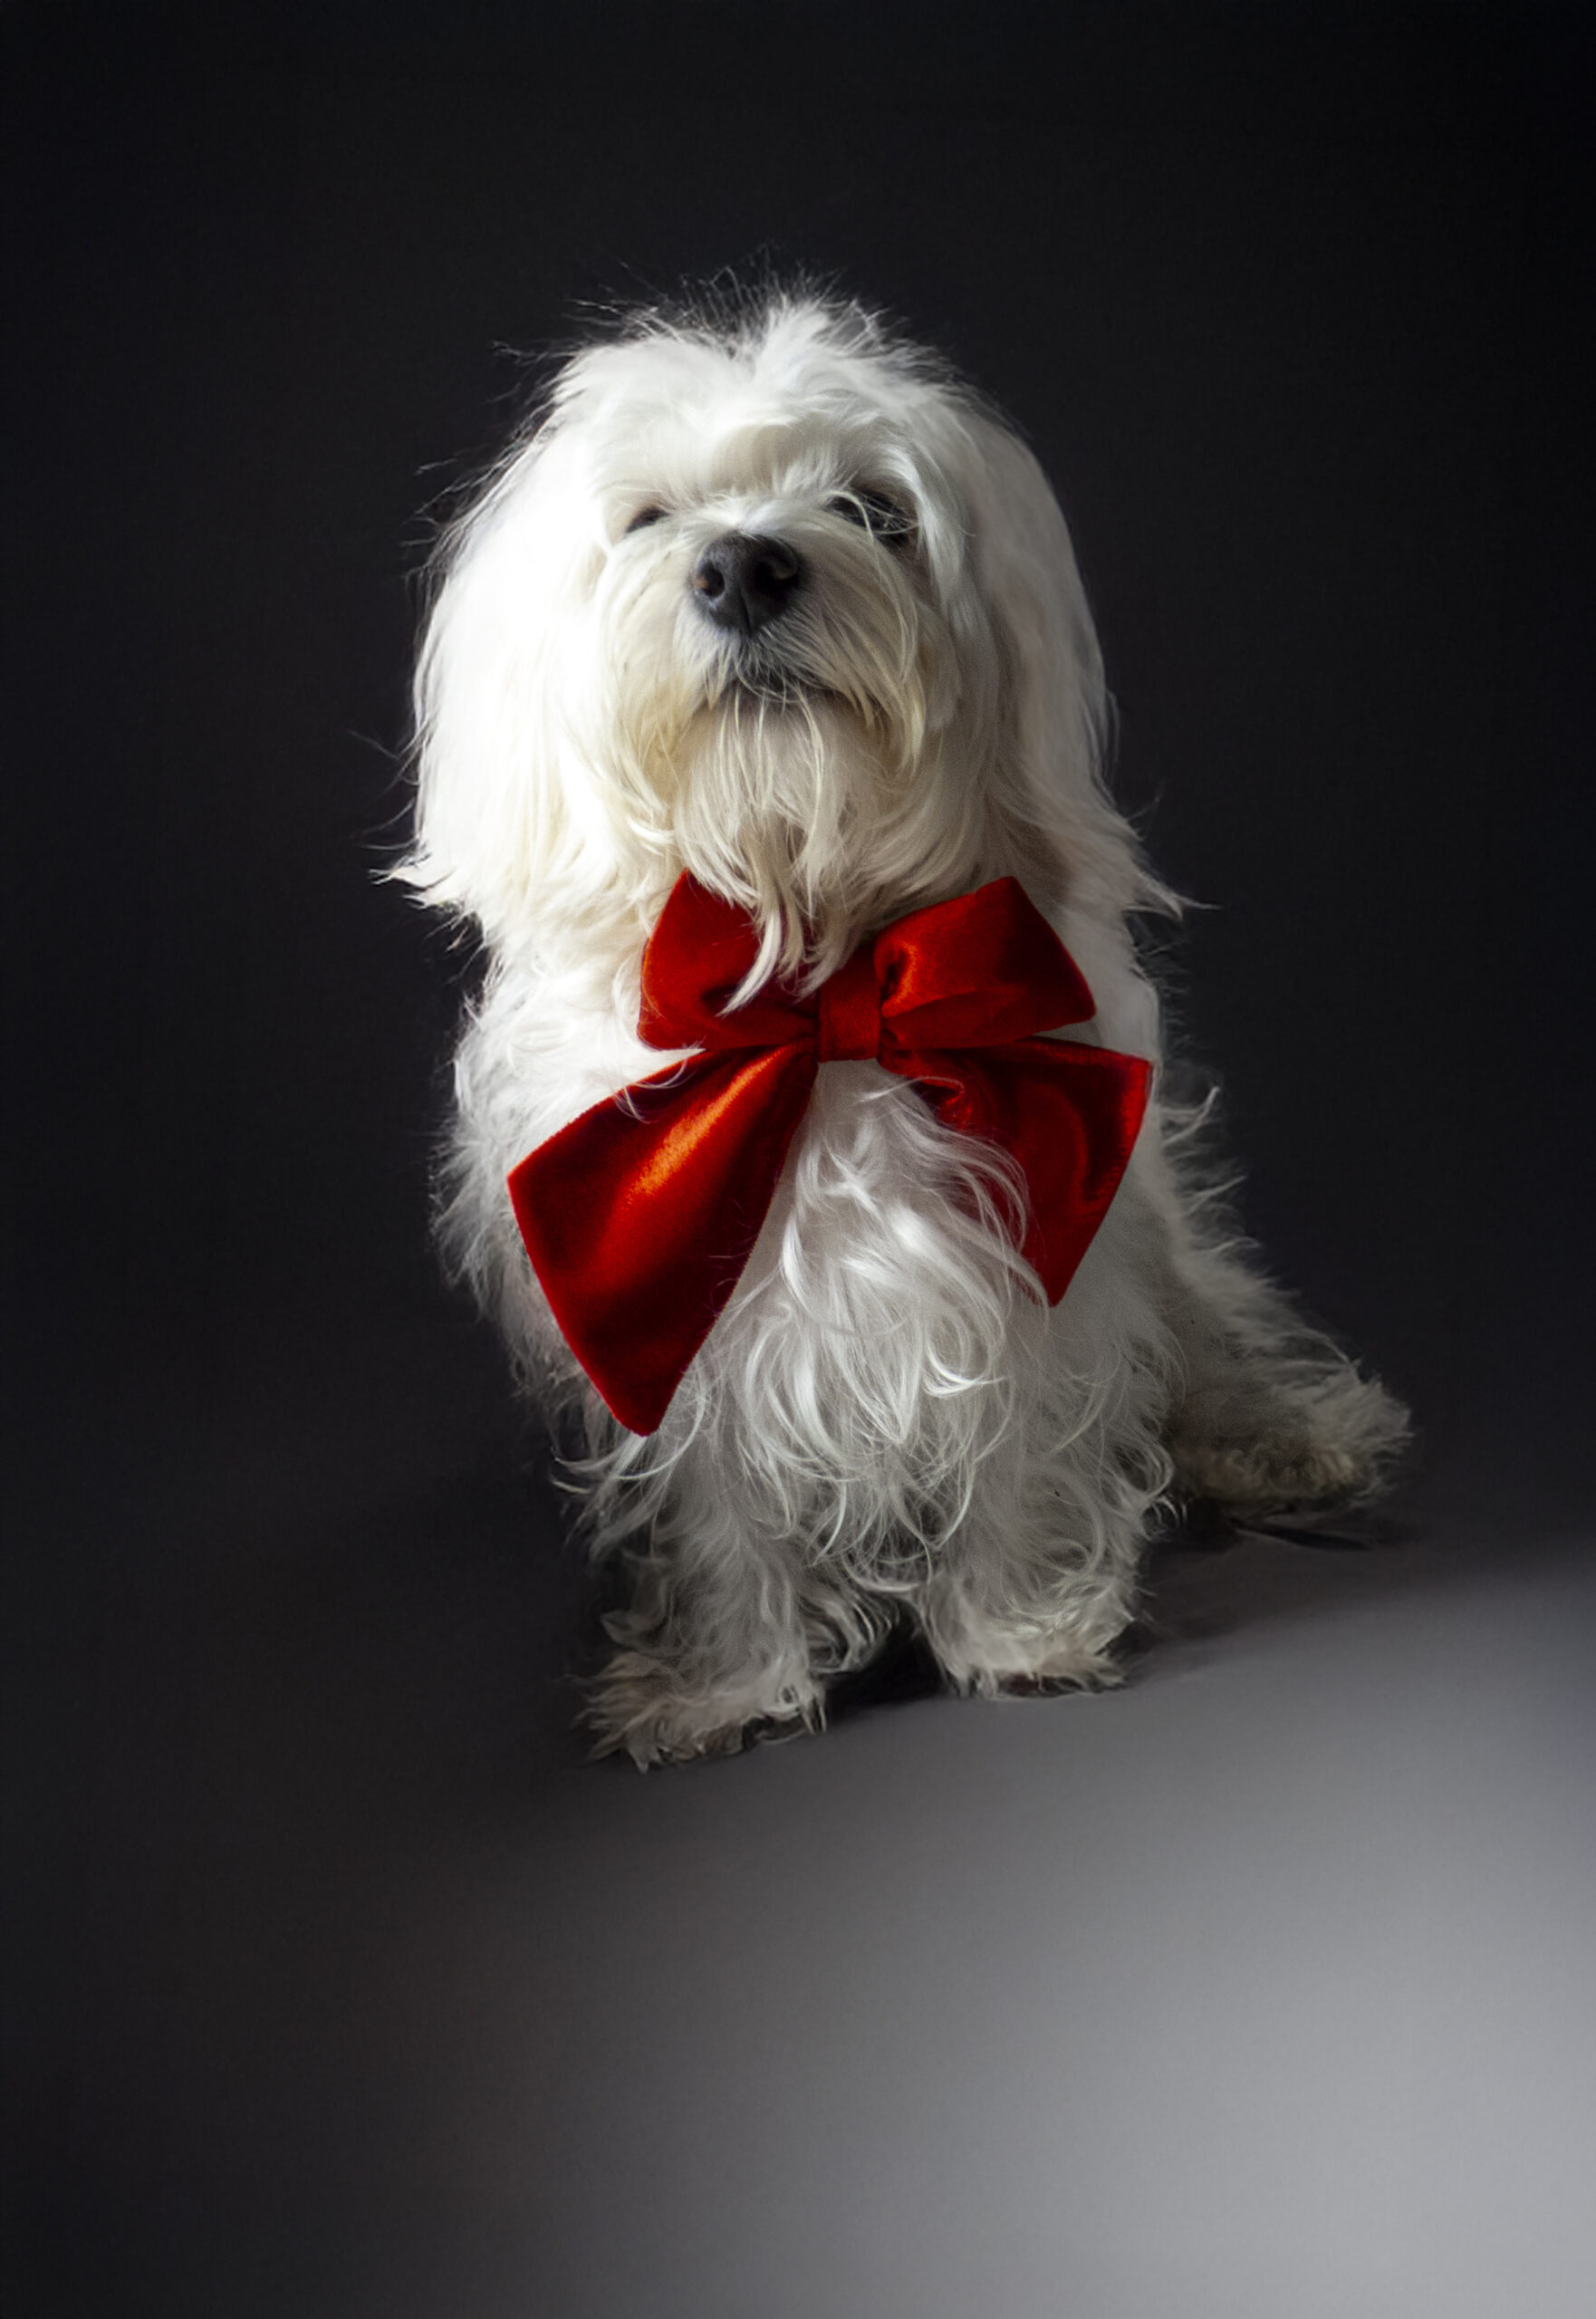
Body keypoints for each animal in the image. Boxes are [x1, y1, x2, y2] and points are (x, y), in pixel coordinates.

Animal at [404, 289, 1407, 1765]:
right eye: (649, 520)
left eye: (871, 509)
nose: (743, 567)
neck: (819, 975)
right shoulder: (671, 1293)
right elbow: (721, 1506)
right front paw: (727, 1681)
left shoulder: (1039, 1228)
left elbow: (1015, 1440)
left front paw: (1018, 1627)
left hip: (1163, 1238)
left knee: (1212, 1344)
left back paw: (1280, 1441)